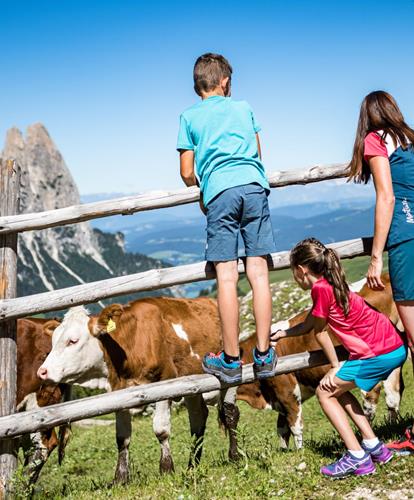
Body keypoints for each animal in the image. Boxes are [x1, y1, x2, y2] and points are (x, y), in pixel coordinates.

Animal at [37, 296, 241, 484]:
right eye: (53, 341)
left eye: (73, 341)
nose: (42, 372)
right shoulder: (120, 392)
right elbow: (122, 437)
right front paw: (120, 478)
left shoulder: (165, 382)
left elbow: (161, 429)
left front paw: (166, 469)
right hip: (192, 382)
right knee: (198, 418)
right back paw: (193, 466)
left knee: (229, 413)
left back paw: (234, 455)